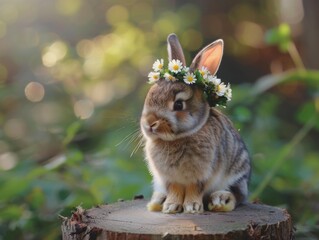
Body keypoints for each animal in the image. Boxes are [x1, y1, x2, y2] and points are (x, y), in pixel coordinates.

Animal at [141, 32, 251, 214]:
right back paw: (158, 201)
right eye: (150, 95)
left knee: (238, 197)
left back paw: (220, 200)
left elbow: (195, 189)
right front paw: (170, 207)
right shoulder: (169, 179)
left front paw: (192, 208)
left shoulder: (202, 175)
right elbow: (175, 190)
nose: (149, 123)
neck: (180, 137)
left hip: (238, 175)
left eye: (179, 105)